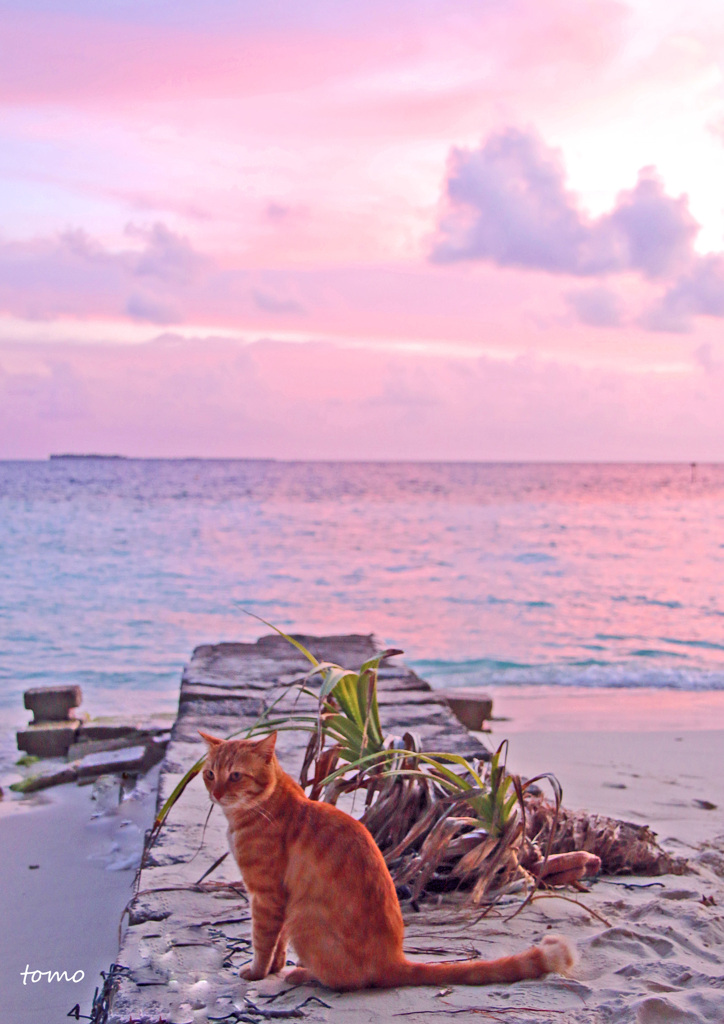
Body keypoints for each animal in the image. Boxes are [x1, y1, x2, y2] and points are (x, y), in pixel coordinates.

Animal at [198, 733, 573, 987]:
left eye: (235, 776)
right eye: (210, 774)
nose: (215, 793)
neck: (265, 805)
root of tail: (394, 960)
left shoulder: (268, 897)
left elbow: (263, 941)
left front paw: (258, 973)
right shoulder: (279, 901)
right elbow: (277, 944)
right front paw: (273, 968)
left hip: (304, 919)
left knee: (346, 981)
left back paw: (303, 975)